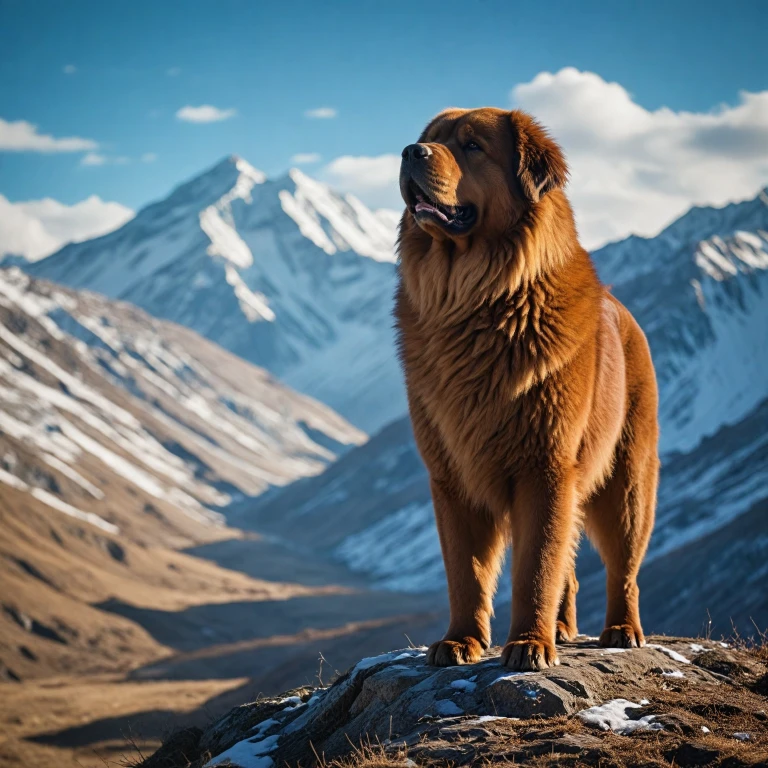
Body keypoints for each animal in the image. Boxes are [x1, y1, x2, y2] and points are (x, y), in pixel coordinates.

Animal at [396, 108, 660, 672]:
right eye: (430, 139)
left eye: (471, 146)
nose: (410, 151)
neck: (479, 300)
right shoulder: (451, 476)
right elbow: (467, 572)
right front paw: (460, 641)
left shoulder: (545, 466)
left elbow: (536, 567)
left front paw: (529, 645)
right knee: (571, 566)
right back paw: (562, 627)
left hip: (626, 483)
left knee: (623, 567)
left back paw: (621, 630)